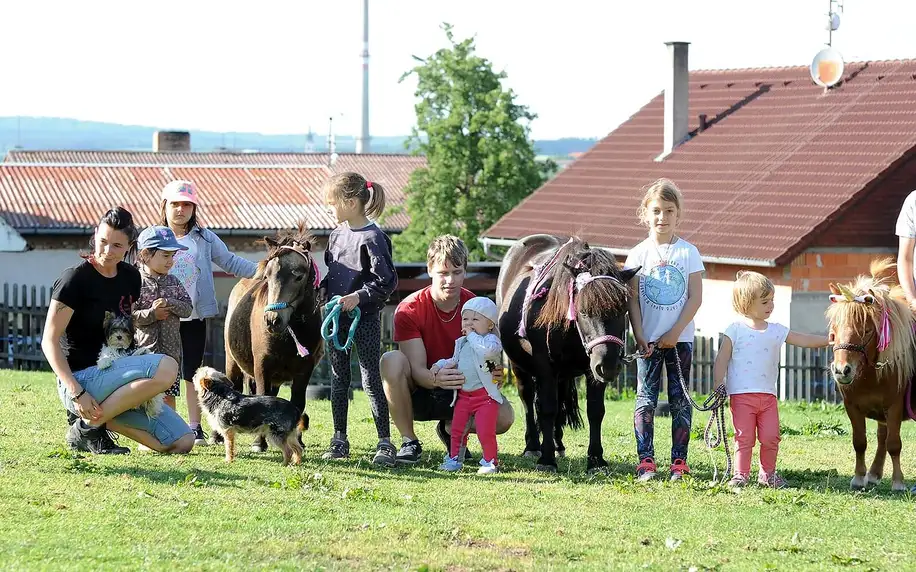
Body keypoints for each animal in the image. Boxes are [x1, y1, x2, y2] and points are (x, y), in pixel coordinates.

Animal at [224, 223, 324, 452]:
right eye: (267, 276)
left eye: (299, 276)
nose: (272, 320)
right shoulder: (262, 367)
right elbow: (262, 396)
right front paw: (259, 443)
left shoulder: (305, 370)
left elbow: (298, 402)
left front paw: (297, 439)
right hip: (232, 362)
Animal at [500, 235, 636, 472]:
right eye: (583, 311)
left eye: (623, 310)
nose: (609, 366)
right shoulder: (545, 368)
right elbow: (547, 408)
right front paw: (546, 459)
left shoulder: (593, 370)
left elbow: (595, 410)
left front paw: (596, 459)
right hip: (519, 366)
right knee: (528, 399)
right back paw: (533, 446)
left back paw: (557, 443)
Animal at [824, 260, 916, 492]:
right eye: (834, 330)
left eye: (866, 330)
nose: (842, 370)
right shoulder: (852, 406)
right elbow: (860, 441)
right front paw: (859, 478)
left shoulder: (894, 406)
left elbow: (894, 444)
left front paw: (898, 482)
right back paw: (874, 473)